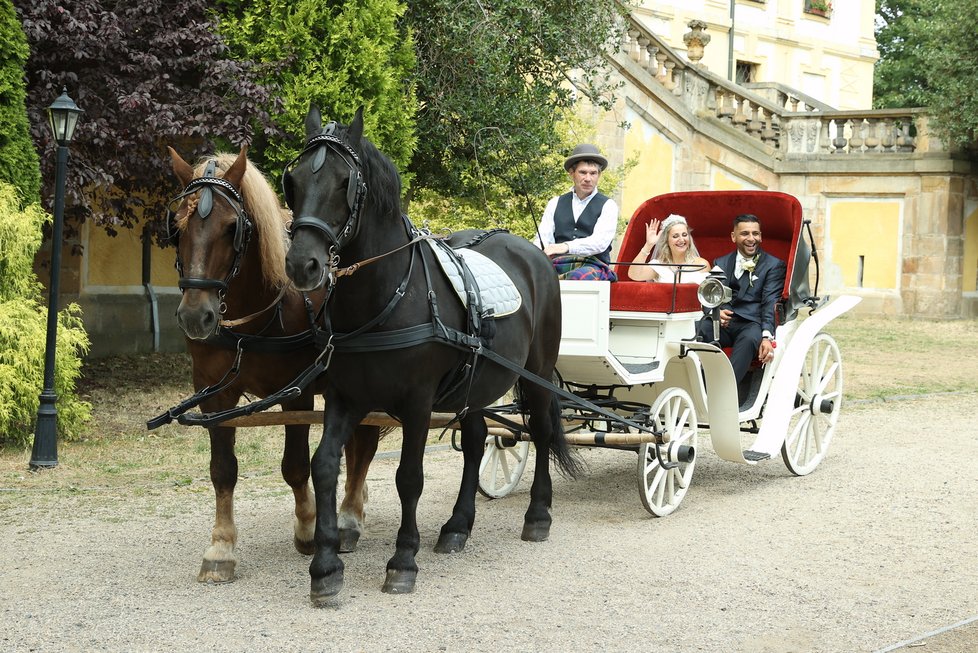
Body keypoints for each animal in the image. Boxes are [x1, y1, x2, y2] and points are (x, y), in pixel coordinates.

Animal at [162, 146, 380, 580]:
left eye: (233, 227)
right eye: (176, 227)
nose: (196, 317)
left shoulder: (295, 394)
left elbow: (294, 466)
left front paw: (309, 526)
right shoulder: (214, 396)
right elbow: (222, 470)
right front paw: (221, 547)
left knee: (364, 444)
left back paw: (350, 513)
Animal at [278, 107, 576, 600]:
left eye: (344, 182)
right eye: (294, 180)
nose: (303, 265)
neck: (385, 296)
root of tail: (532, 253)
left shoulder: (417, 403)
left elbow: (408, 477)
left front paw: (402, 560)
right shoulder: (344, 397)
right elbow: (324, 466)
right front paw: (325, 566)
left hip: (535, 373)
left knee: (543, 430)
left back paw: (538, 515)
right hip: (476, 384)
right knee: (476, 441)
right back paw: (458, 525)